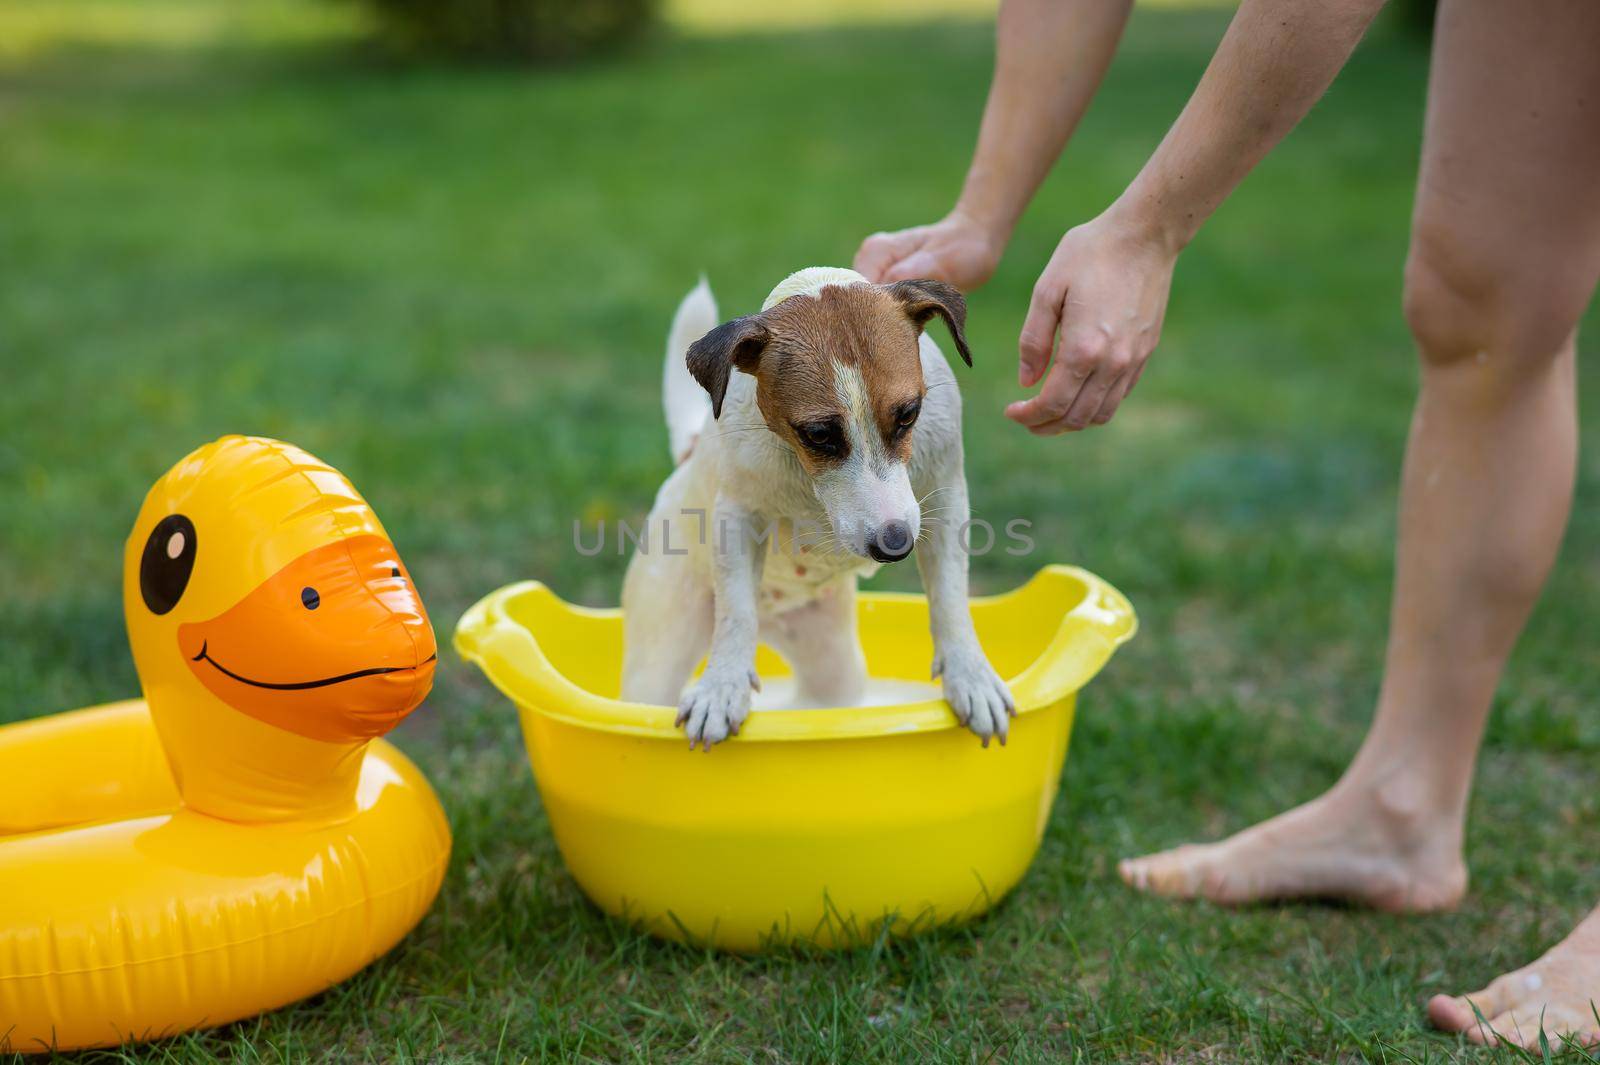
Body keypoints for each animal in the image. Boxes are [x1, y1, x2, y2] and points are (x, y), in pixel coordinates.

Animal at [620, 265, 1011, 745]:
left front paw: (970, 673)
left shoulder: (946, 497)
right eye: (819, 434)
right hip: (659, 650)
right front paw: (722, 685)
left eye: (908, 414)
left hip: (832, 664)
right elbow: (735, 612)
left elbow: (950, 596)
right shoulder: (738, 518)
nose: (895, 543)